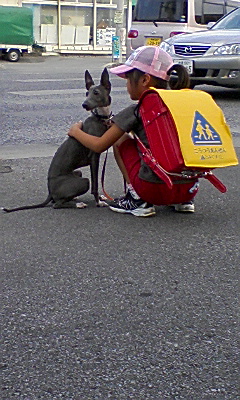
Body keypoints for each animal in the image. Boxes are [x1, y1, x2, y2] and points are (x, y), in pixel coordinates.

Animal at [3, 69, 112, 212]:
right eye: (87, 93)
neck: (100, 117)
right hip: (83, 181)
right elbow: (95, 184)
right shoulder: (94, 157)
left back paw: (74, 198)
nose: (84, 104)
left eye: (96, 92)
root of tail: (50, 192)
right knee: (57, 204)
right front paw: (98, 202)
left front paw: (101, 198)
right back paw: (78, 204)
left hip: (78, 173)